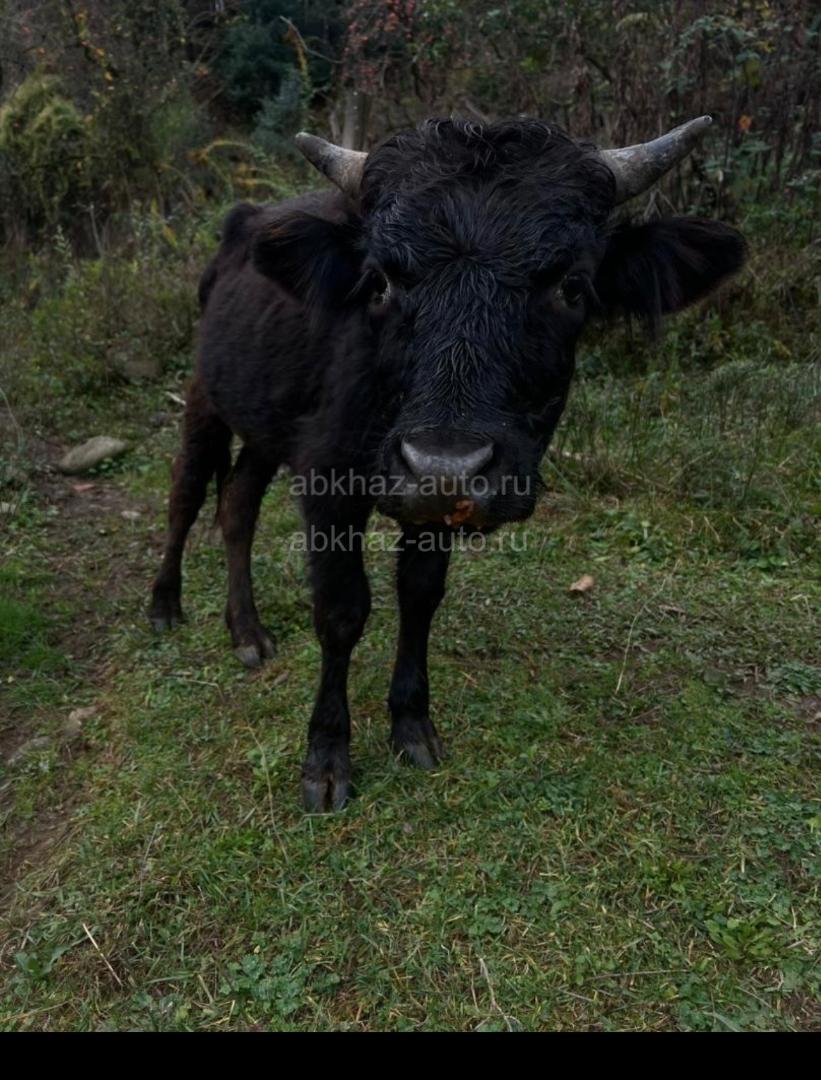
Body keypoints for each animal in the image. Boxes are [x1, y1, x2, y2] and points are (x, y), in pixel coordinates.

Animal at [149, 116, 746, 811]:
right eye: (379, 281)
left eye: (572, 285)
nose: (446, 464)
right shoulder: (327, 483)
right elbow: (342, 611)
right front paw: (326, 757)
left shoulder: (428, 506)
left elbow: (420, 595)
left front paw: (411, 724)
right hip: (205, 396)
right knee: (187, 491)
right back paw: (165, 605)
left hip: (268, 423)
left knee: (238, 502)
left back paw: (246, 630)